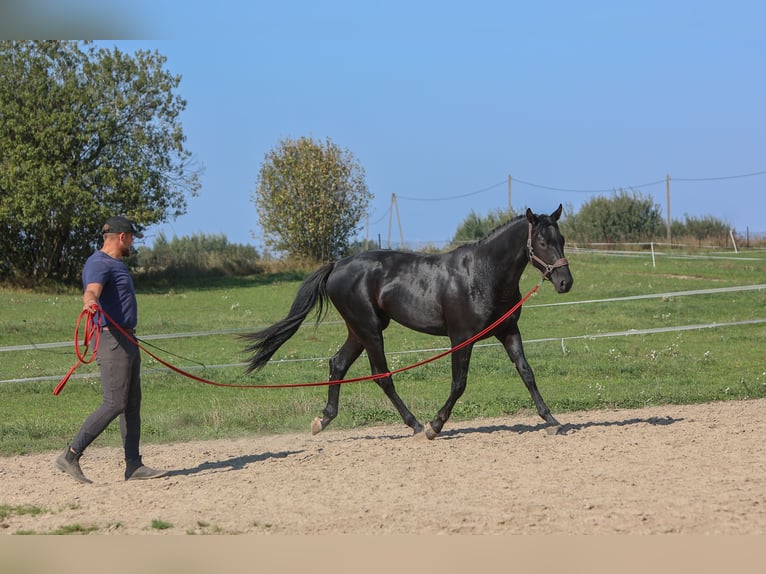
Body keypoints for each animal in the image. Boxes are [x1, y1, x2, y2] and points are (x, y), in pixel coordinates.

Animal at [243, 205, 572, 438]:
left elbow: (527, 373)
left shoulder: (508, 331)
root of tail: (337, 265)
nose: (565, 282)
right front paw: (435, 425)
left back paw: (322, 420)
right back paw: (415, 424)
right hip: (369, 330)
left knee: (337, 364)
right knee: (381, 375)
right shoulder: (461, 338)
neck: (481, 274)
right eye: (542, 241)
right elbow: (459, 383)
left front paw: (551, 420)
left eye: (562, 239)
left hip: (358, 331)